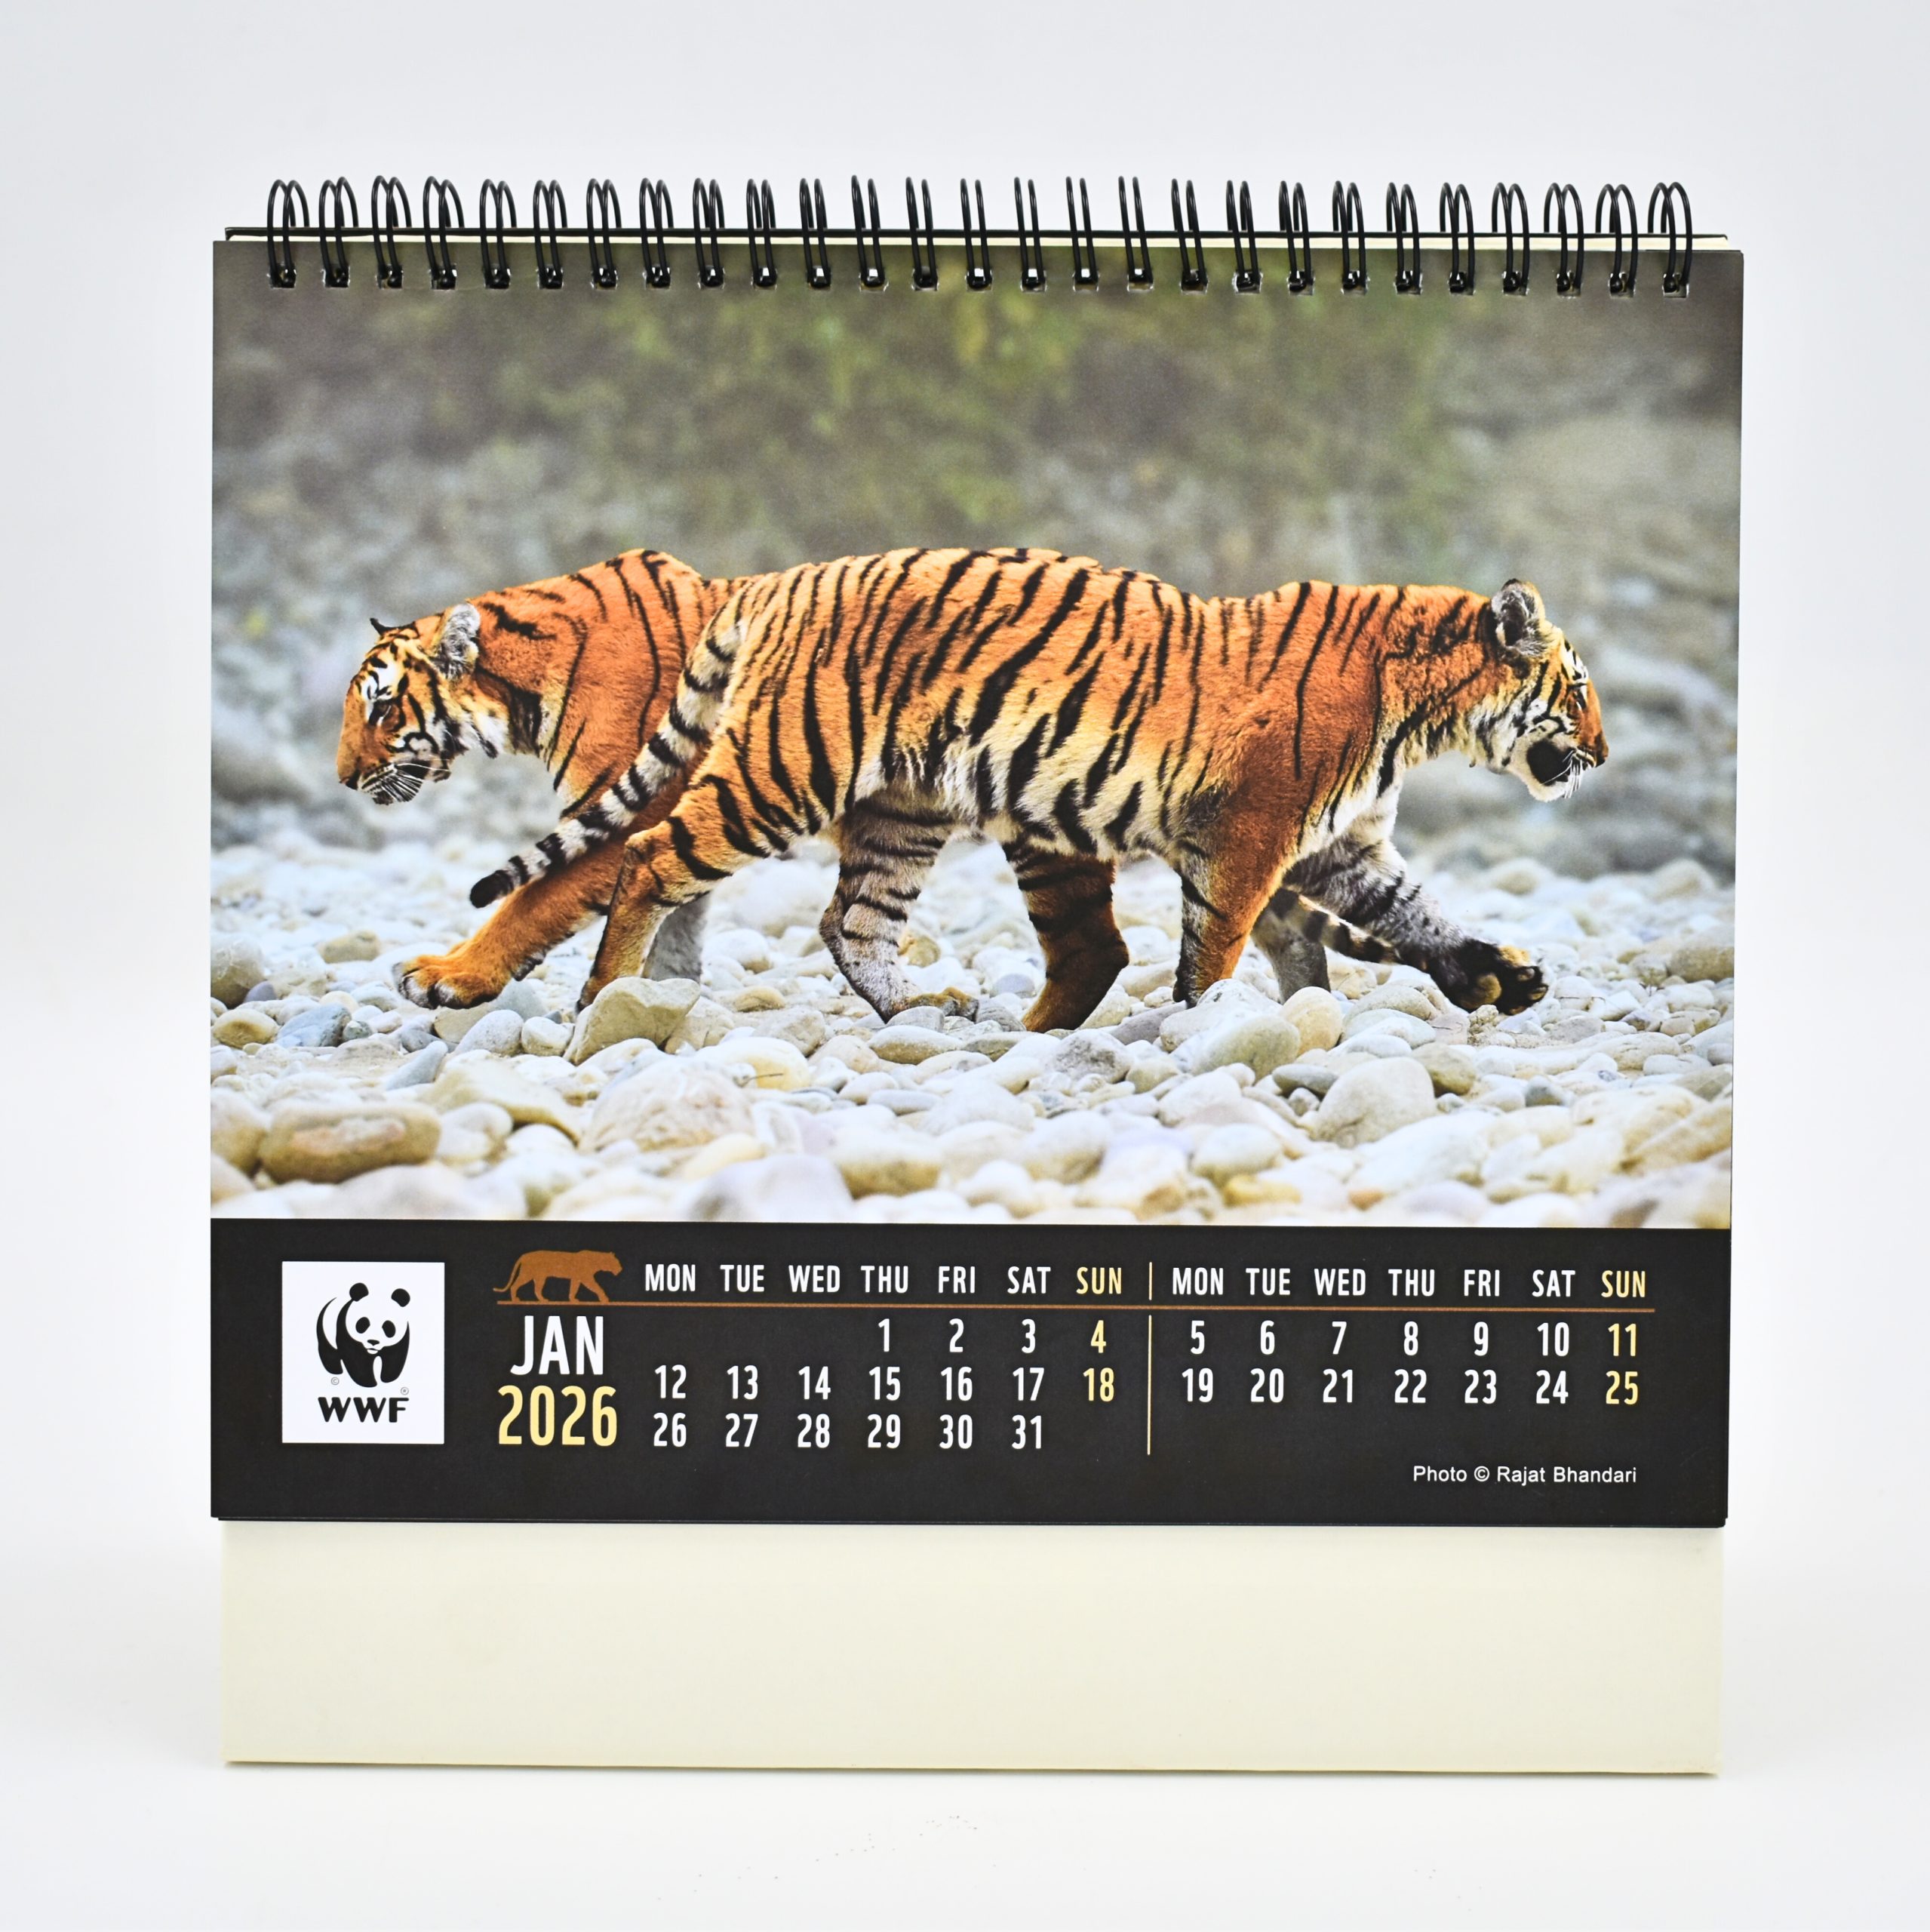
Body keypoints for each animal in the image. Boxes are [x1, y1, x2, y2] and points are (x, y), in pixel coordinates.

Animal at [467, 548, 1607, 1020]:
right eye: (1581, 686)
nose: (1600, 751)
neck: (1422, 718)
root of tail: (779, 581)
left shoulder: (1342, 846)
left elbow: (1416, 915)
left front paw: (1498, 976)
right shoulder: (1249, 838)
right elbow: (1214, 945)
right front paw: (1197, 1028)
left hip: (900, 810)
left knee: (853, 922)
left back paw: (922, 1015)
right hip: (783, 769)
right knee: (649, 855)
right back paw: (605, 997)